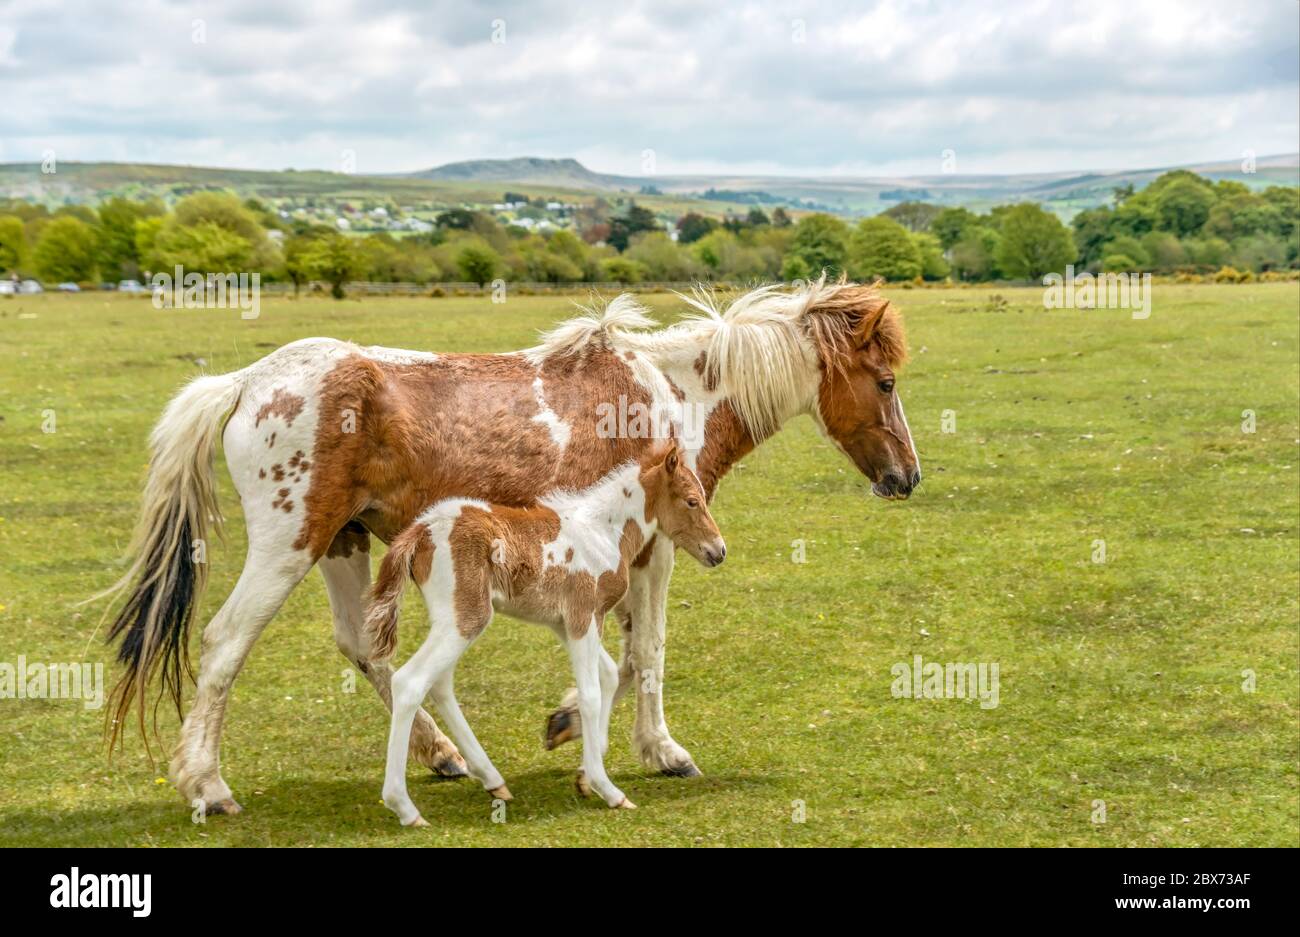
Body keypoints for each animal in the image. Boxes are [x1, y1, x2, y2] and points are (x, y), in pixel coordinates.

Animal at [366, 441, 728, 821]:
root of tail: (420, 531)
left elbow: (609, 677)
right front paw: (608, 789)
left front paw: (585, 772)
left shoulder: (565, 624)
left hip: (451, 621)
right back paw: (405, 807)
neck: (603, 531)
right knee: (410, 682)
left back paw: (492, 779)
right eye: (692, 500)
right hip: (465, 619)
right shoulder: (583, 617)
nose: (718, 550)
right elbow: (591, 694)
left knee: (439, 683)